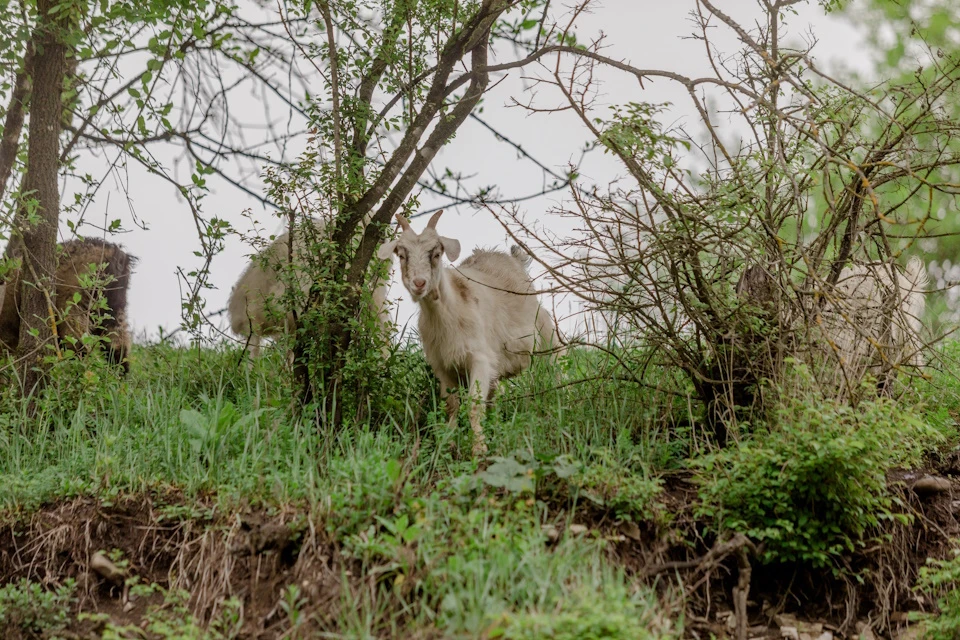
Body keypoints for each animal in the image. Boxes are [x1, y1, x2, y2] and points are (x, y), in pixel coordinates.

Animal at [376, 210, 564, 456]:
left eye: (436, 253)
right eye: (401, 254)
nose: (419, 283)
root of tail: (514, 260)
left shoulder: (480, 358)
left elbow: (474, 404)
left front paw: (479, 449)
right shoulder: (442, 365)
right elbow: (451, 404)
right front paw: (448, 445)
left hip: (545, 334)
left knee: (555, 367)